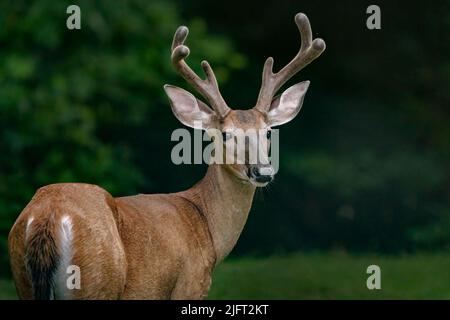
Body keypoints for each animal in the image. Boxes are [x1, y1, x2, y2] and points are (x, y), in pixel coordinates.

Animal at [7, 11, 324, 298]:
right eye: (225, 134)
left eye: (268, 132)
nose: (263, 171)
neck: (206, 226)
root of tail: (47, 216)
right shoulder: (191, 283)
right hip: (96, 281)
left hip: (24, 279)